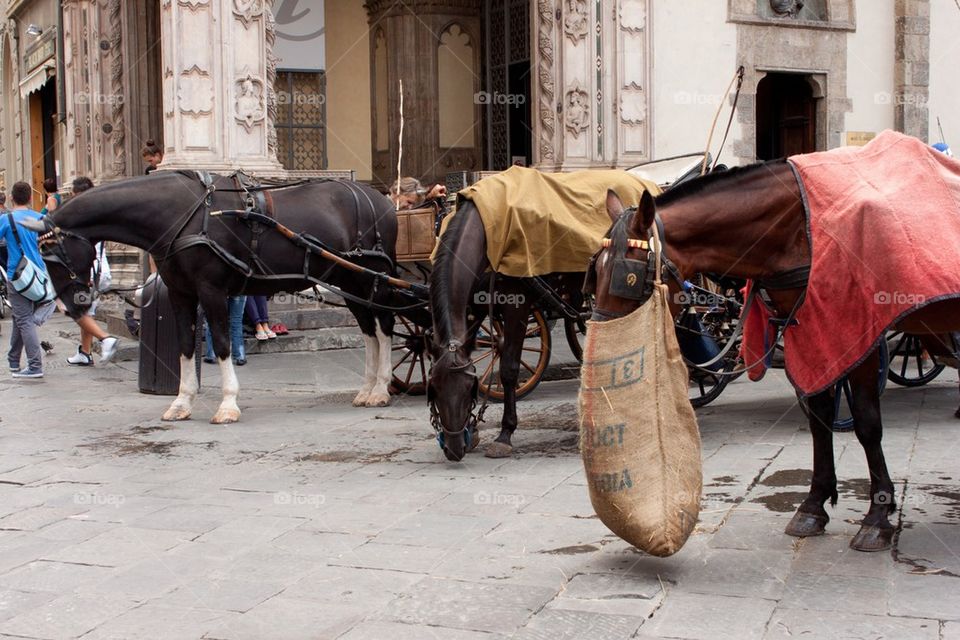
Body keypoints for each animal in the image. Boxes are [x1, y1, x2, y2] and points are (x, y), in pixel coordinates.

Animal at [37, 170, 398, 422]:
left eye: (53, 256)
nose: (73, 308)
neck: (180, 214)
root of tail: (381, 199)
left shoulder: (212, 291)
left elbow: (223, 343)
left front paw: (227, 405)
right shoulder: (181, 293)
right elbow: (185, 345)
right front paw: (181, 402)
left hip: (373, 278)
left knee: (384, 325)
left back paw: (381, 388)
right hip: (349, 281)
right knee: (368, 329)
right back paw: (367, 388)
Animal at [430, 202, 584, 462]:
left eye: (467, 390)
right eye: (434, 388)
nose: (453, 449)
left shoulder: (516, 307)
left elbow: (509, 369)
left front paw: (505, 434)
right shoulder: (474, 308)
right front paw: (473, 431)